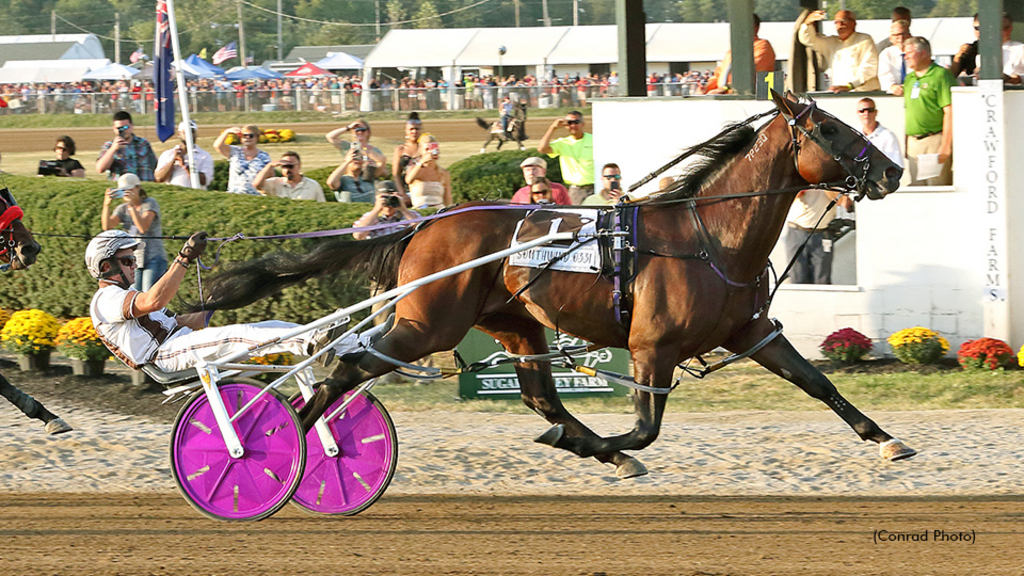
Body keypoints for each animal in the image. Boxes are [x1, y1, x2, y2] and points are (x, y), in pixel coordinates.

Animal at [197, 94, 913, 477]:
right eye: (831, 129)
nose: (893, 170)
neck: (707, 234)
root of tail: (424, 221)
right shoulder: (652, 347)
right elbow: (644, 427)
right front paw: (607, 447)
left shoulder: (752, 331)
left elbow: (817, 383)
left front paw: (888, 440)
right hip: (427, 323)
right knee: (345, 365)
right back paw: (276, 441)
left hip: (516, 324)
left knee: (540, 396)